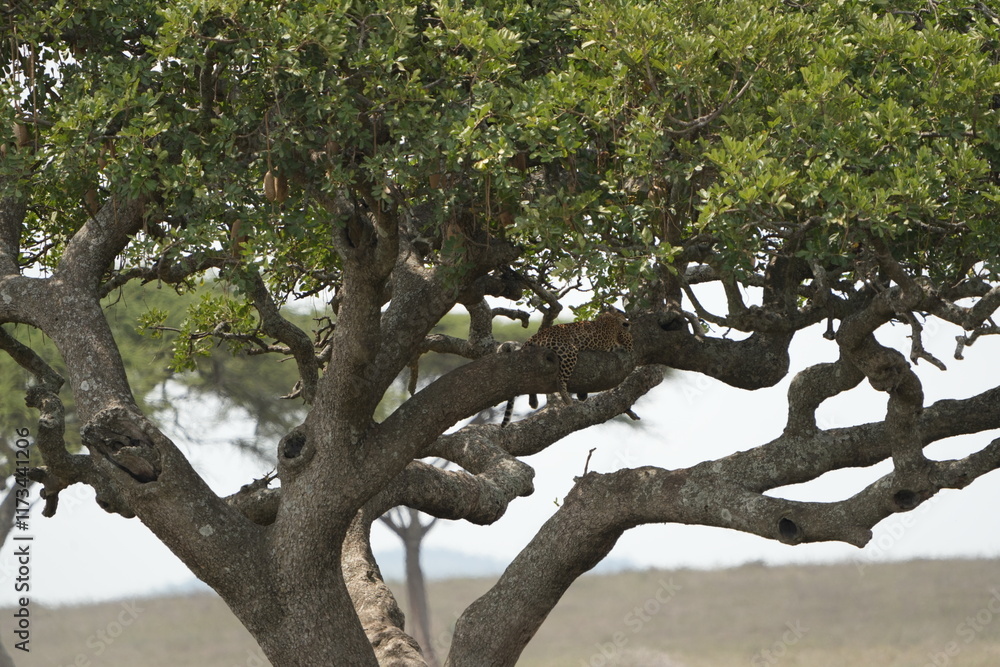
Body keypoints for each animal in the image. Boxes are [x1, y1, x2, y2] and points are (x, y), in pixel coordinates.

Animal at [500, 309, 633, 427]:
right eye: (623, 315)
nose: (628, 321)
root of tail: (534, 337)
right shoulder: (625, 339)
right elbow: (630, 343)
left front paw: (582, 395)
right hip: (569, 350)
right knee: (560, 379)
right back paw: (566, 398)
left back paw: (533, 401)